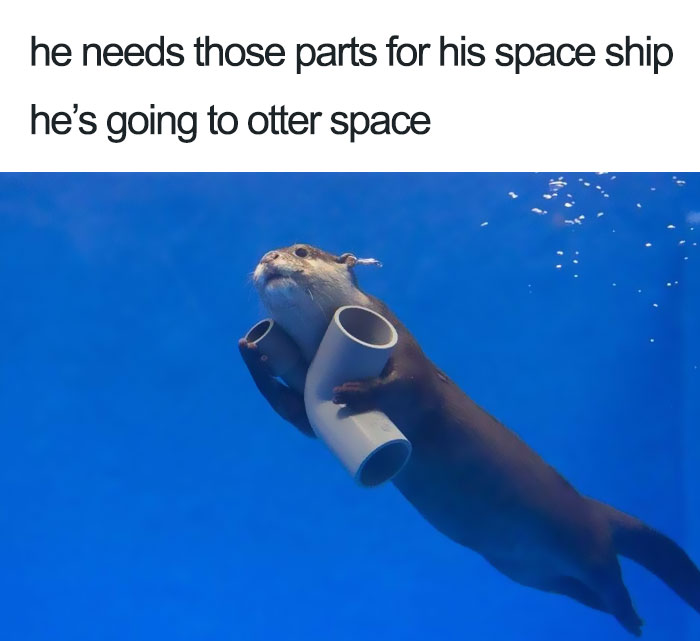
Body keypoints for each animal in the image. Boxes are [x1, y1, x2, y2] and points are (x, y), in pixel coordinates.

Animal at [238, 243, 700, 636]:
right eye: (270, 252)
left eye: (301, 251)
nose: (267, 257)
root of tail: (589, 505)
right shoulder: (306, 390)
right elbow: (301, 418)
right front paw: (250, 351)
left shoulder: (406, 348)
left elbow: (411, 385)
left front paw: (357, 391)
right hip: (530, 572)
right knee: (586, 593)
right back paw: (628, 620)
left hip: (586, 543)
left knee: (610, 575)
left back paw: (633, 617)